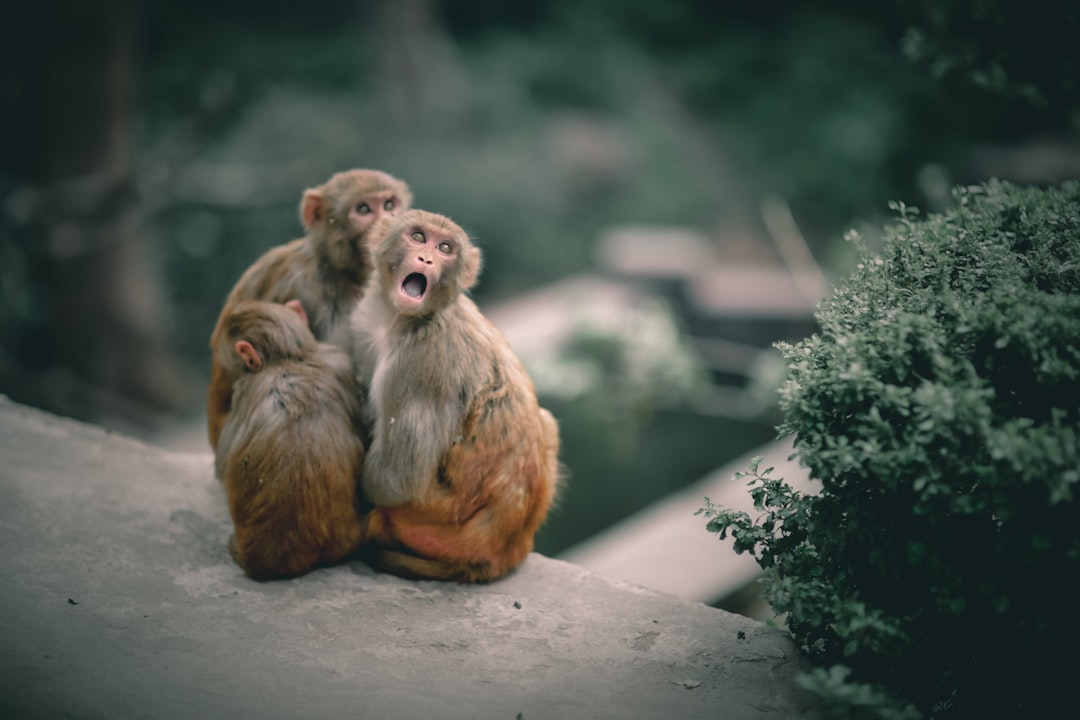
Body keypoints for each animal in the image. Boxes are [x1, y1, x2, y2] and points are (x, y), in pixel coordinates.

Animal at [347, 211, 565, 582]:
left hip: (427, 522)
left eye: (445, 248)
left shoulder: (421, 364)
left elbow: (395, 479)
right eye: (419, 237)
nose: (427, 259)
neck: (409, 319)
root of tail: (502, 552)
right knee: (547, 422)